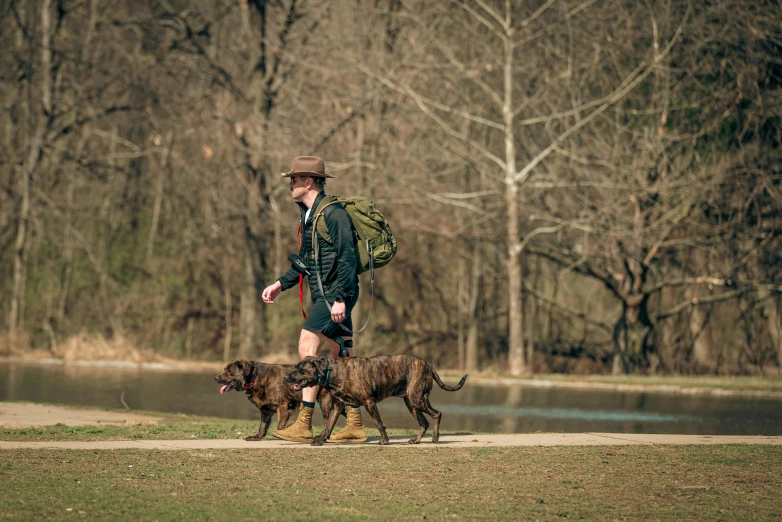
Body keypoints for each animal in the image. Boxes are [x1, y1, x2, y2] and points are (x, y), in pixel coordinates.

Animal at [288, 354, 472, 442]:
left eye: (300, 369)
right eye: (295, 367)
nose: (286, 377)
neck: (331, 371)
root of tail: (428, 364)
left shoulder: (369, 402)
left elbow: (378, 422)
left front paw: (384, 440)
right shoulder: (338, 406)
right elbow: (329, 425)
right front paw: (321, 440)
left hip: (417, 399)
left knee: (437, 414)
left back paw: (435, 437)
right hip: (411, 404)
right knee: (424, 422)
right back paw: (417, 440)